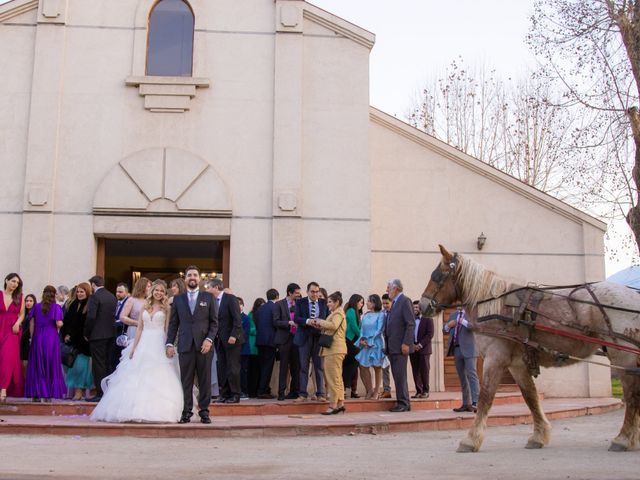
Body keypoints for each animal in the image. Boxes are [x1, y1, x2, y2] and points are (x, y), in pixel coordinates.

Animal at [420, 246, 640, 452]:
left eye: (437, 275)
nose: (423, 305)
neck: (496, 308)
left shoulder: (495, 358)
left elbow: (485, 397)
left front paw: (470, 439)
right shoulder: (517, 364)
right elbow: (530, 397)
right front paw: (539, 436)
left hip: (623, 355)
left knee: (631, 396)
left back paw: (622, 439)